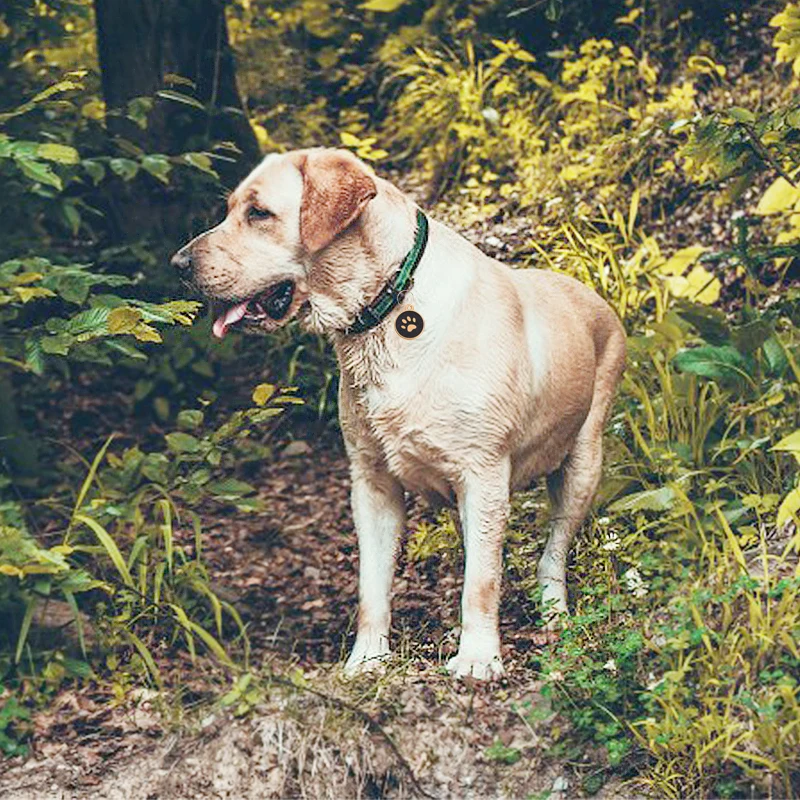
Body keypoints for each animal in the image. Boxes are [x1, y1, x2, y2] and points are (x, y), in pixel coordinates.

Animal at [172, 147, 628, 680]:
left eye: (259, 213)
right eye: (228, 210)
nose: (178, 264)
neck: (388, 308)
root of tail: (593, 293)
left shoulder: (483, 474)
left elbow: (482, 583)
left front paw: (478, 657)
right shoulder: (372, 484)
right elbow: (373, 587)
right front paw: (368, 658)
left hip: (582, 465)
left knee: (552, 551)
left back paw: (555, 614)